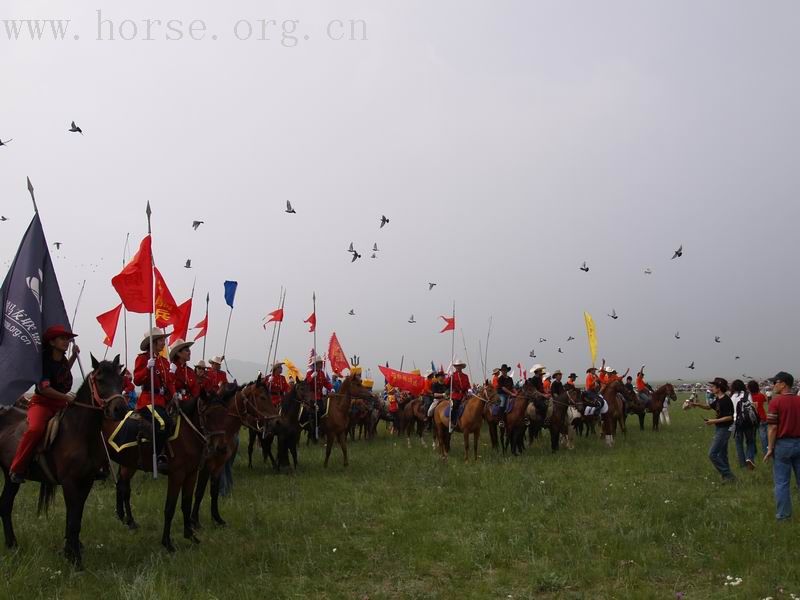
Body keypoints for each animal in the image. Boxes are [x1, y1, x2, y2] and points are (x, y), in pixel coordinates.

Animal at [0, 356, 124, 568]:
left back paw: (12, 544)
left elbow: (76, 518)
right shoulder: (69, 482)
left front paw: (69, 551)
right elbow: (72, 520)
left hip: (10, 478)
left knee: (5, 504)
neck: (79, 432)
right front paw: (75, 560)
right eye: (100, 380)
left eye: (121, 379)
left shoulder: (86, 482)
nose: (120, 409)